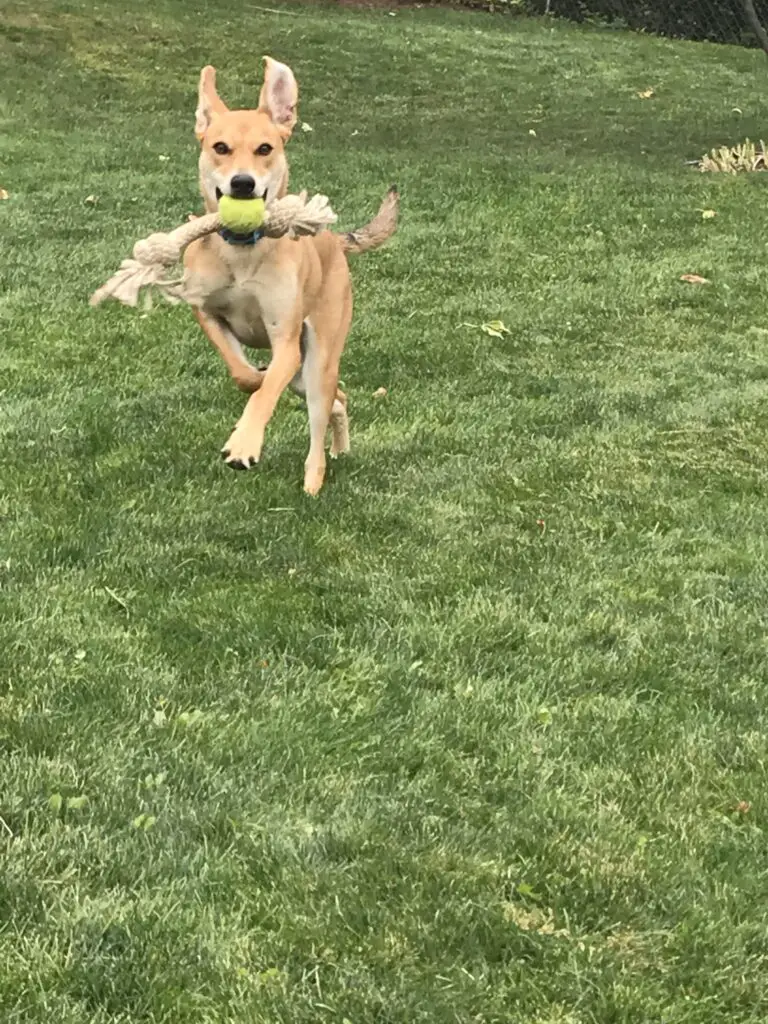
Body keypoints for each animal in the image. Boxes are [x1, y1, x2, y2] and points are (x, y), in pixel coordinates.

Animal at [180, 56, 397, 495]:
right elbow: (243, 375)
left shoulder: (286, 342)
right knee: (339, 399)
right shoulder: (207, 313)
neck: (243, 252)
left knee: (319, 421)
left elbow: (263, 396)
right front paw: (253, 376)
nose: (242, 183)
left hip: (318, 360)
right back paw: (340, 447)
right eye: (220, 147)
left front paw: (244, 443)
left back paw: (313, 482)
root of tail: (332, 239)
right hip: (307, 374)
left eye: (265, 148)